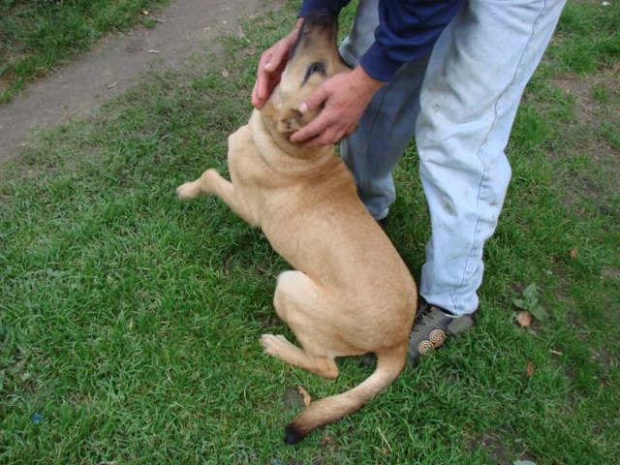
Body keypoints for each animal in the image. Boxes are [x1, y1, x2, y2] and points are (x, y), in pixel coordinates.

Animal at [176, 11, 416, 442]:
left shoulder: (244, 202)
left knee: (328, 369)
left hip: (288, 286)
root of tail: (398, 343)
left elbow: (208, 177)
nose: (321, 15)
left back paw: (278, 346)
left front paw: (186, 191)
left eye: (314, 68)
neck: (295, 150)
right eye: (341, 61)